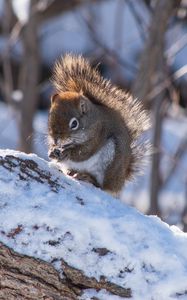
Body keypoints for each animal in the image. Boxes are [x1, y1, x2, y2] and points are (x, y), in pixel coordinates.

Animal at [48, 54, 150, 196]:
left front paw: (67, 153)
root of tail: (121, 179)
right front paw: (52, 150)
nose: (56, 139)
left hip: (110, 163)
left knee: (102, 186)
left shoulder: (98, 134)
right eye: (50, 116)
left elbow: (84, 152)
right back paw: (71, 171)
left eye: (74, 123)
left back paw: (89, 178)